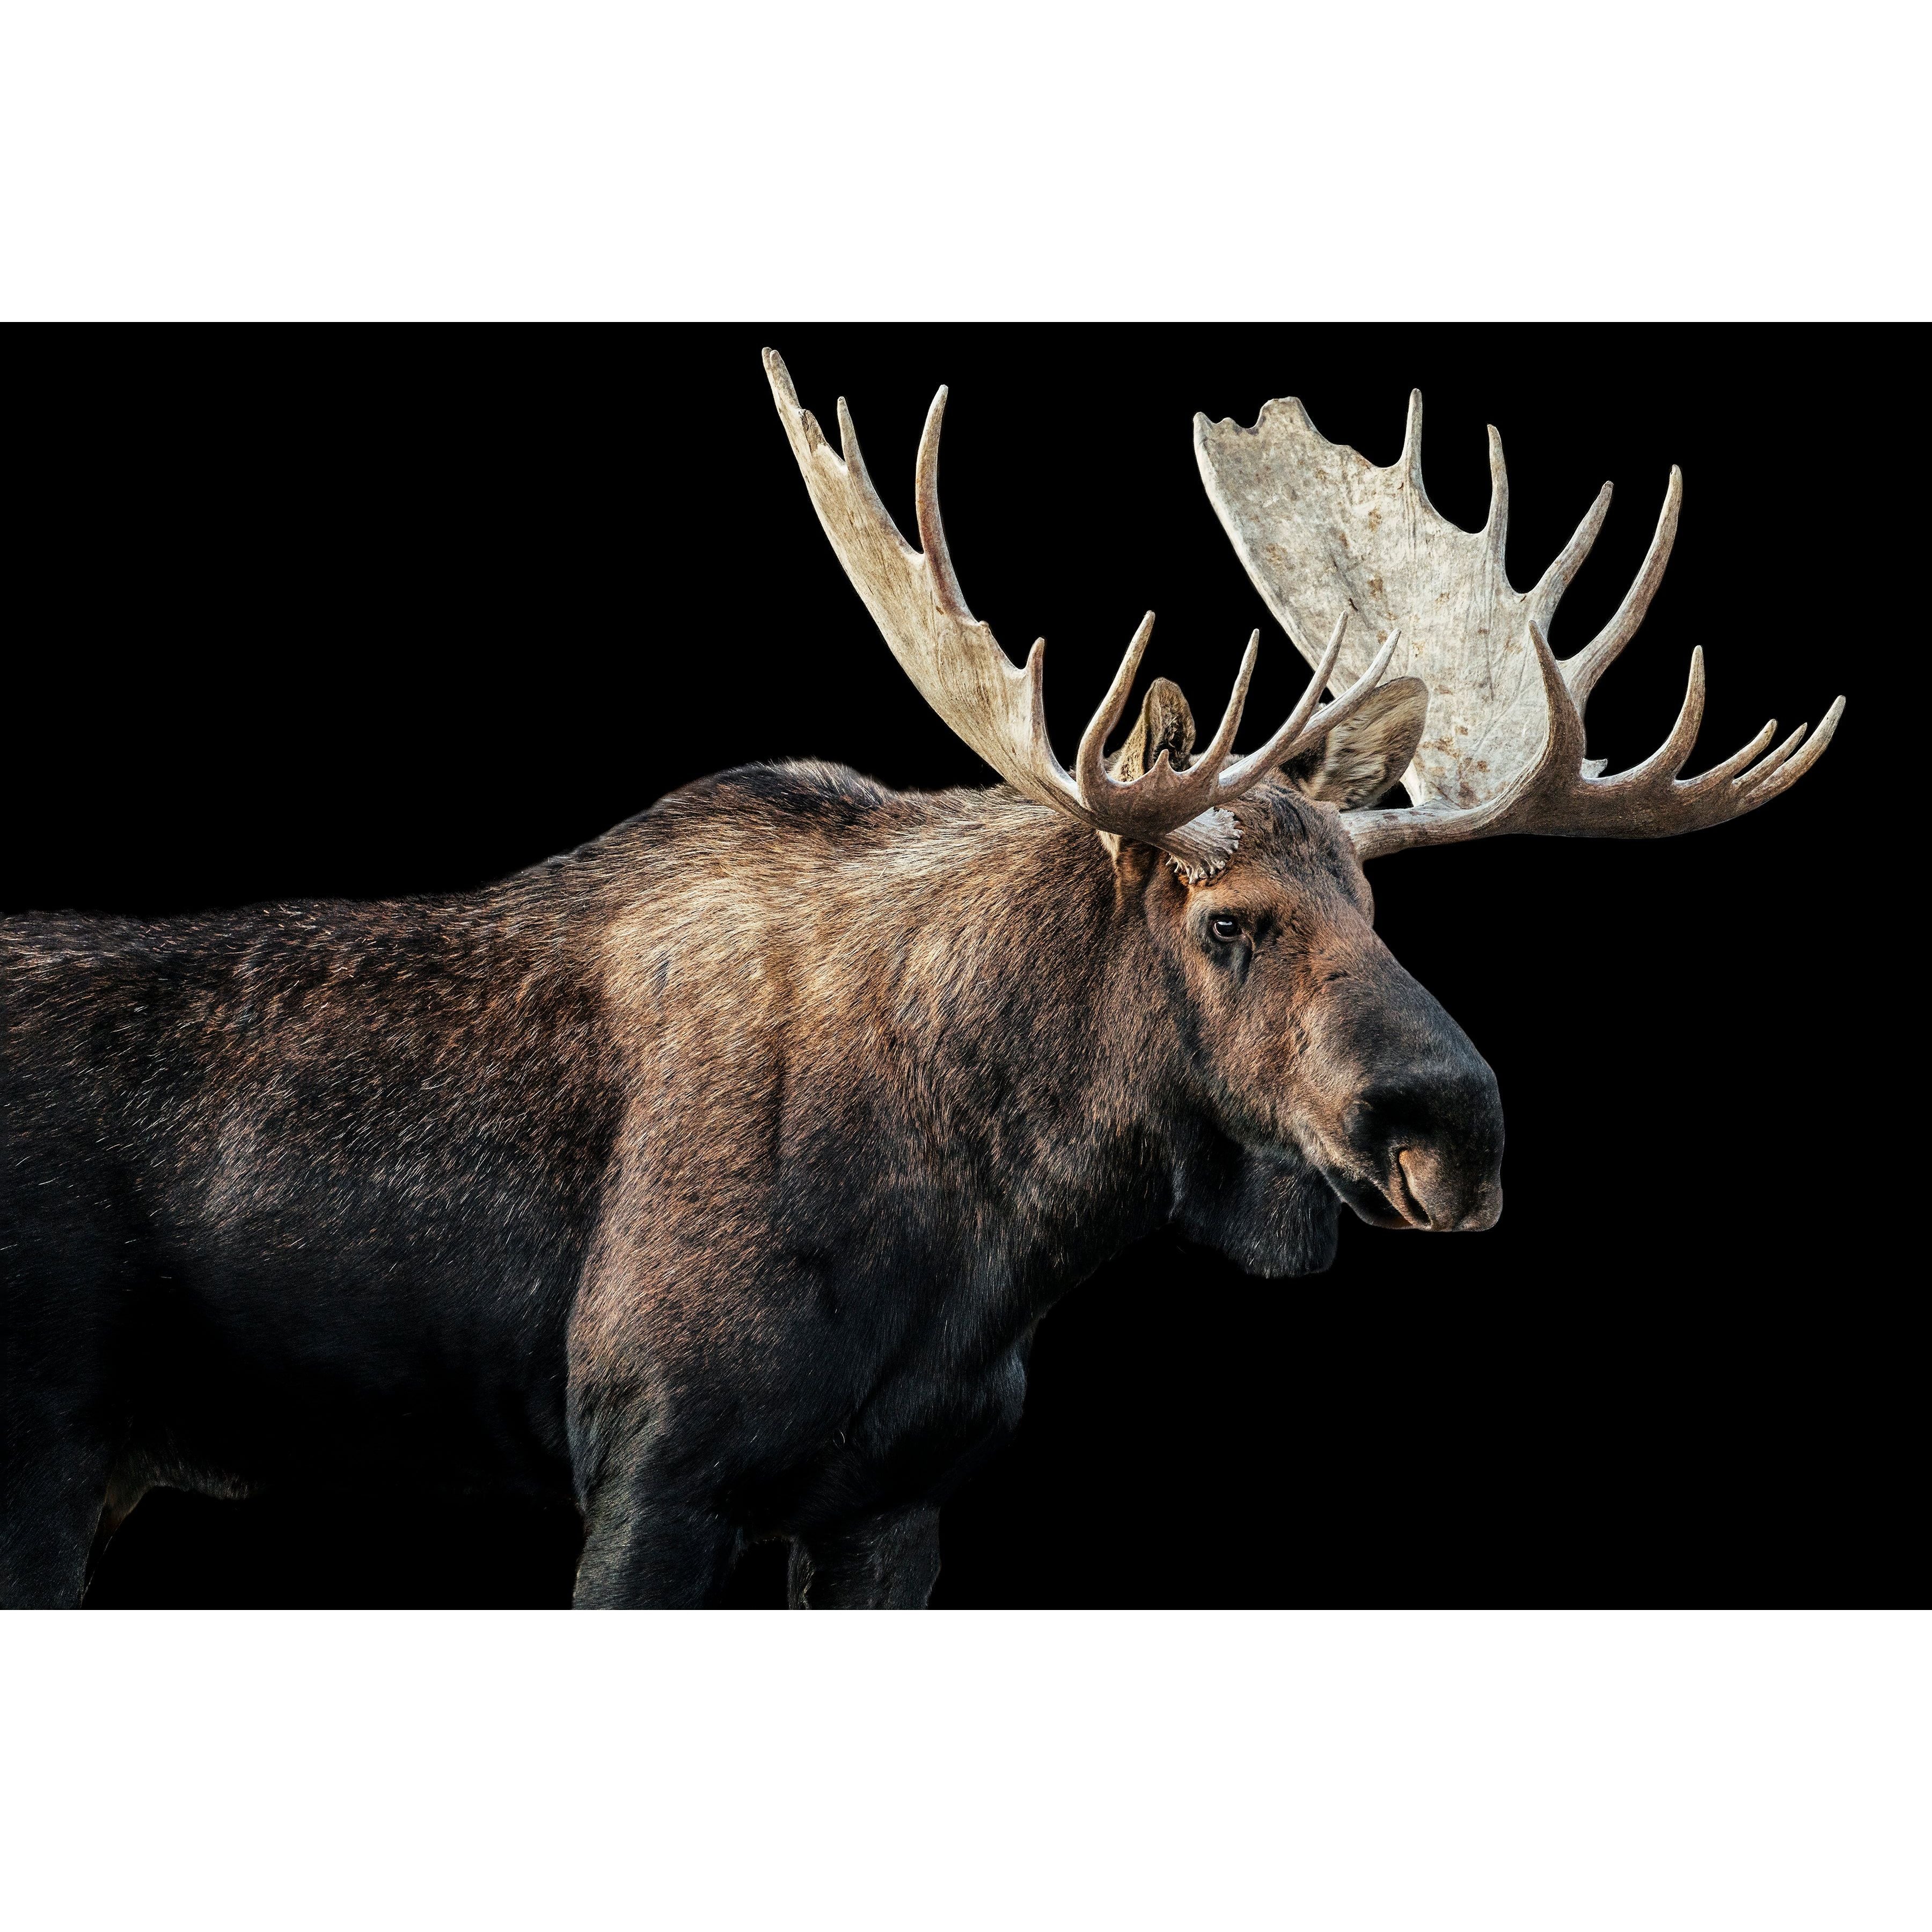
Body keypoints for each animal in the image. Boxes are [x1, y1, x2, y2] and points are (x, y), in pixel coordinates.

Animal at [0, 350, 1841, 1608]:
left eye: (1383, 912)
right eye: (1226, 920)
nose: (1454, 1132)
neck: (990, 1234)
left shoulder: (902, 1501)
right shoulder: (651, 1470)